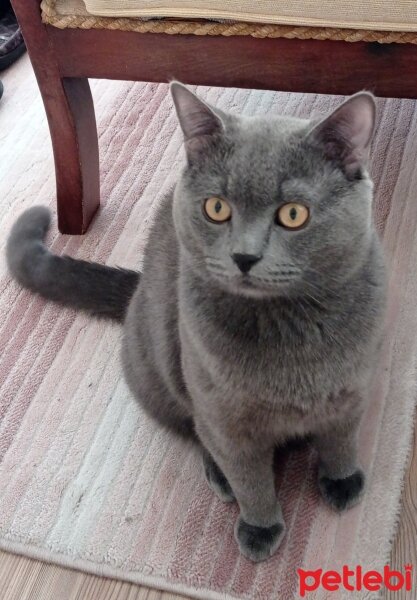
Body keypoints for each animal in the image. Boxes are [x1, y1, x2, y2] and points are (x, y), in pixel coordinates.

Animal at [4, 84, 386, 564]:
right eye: (217, 208)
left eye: (293, 214)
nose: (244, 256)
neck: (291, 331)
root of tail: (138, 289)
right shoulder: (225, 416)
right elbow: (250, 477)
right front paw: (260, 527)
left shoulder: (352, 389)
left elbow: (340, 439)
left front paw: (342, 480)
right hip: (168, 366)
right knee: (197, 430)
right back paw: (219, 476)